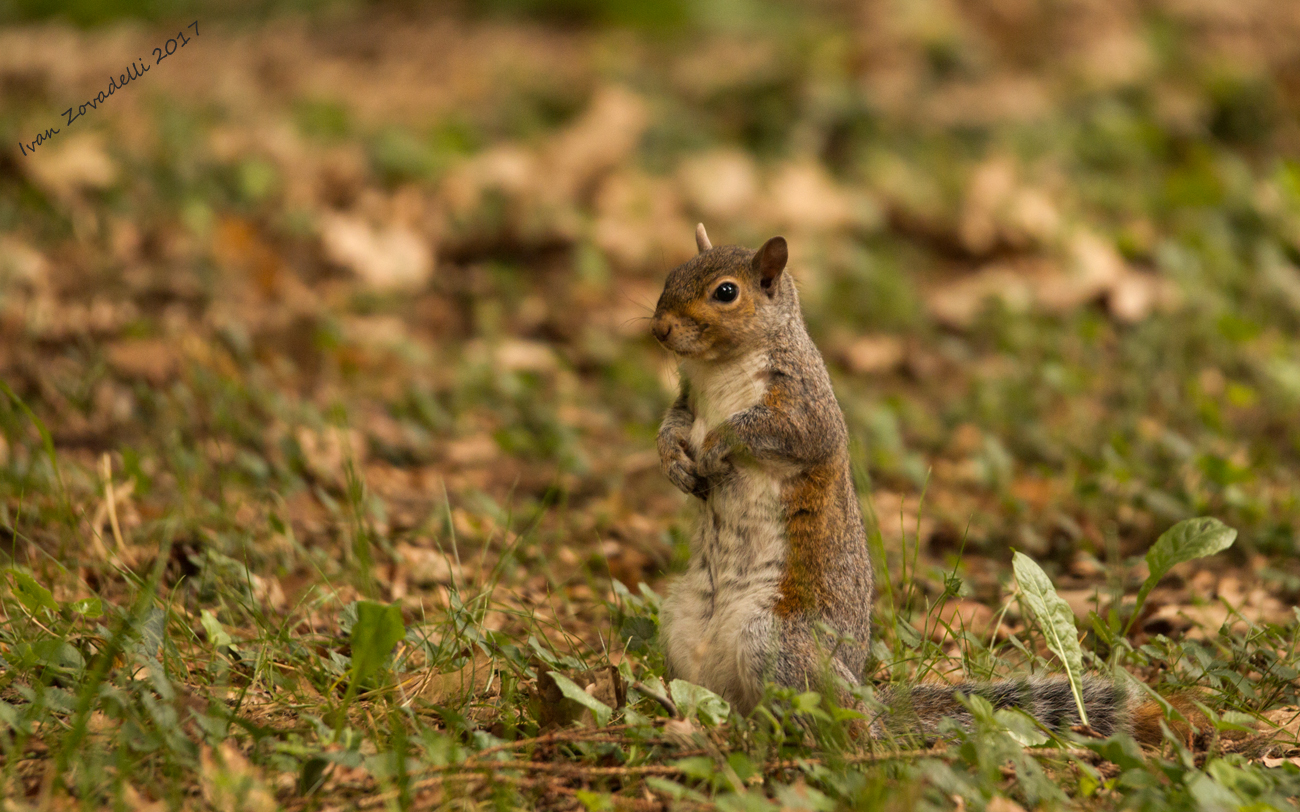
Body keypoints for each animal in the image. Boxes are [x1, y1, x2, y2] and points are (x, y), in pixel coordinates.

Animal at [651, 224, 1178, 743]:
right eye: (673, 272)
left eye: (726, 292)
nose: (659, 329)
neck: (720, 367)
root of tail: (867, 707)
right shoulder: (689, 399)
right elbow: (673, 424)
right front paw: (673, 460)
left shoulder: (804, 405)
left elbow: (774, 432)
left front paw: (717, 446)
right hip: (682, 629)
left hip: (776, 646)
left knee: (834, 728)